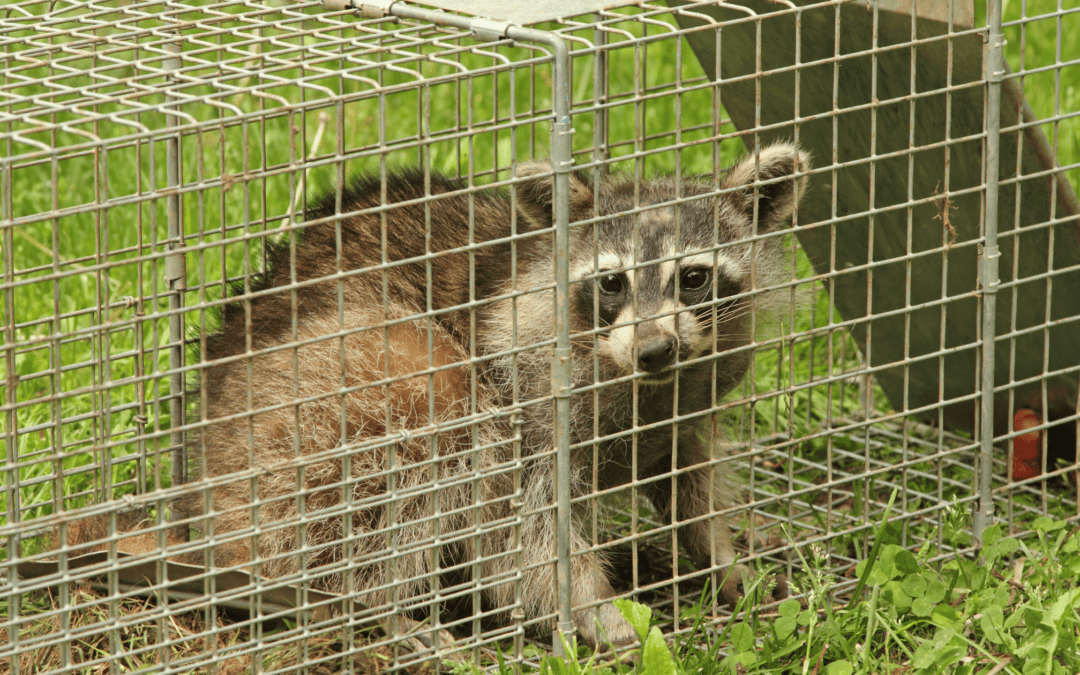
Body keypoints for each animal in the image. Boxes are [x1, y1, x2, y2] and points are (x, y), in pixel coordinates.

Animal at [171, 143, 808, 651]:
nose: (654, 349)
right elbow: (525, 537)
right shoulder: (528, 399)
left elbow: (690, 478)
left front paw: (723, 559)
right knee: (419, 421)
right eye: (612, 282)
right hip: (311, 406)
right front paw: (592, 608)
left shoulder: (690, 396)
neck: (639, 382)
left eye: (694, 278)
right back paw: (374, 607)